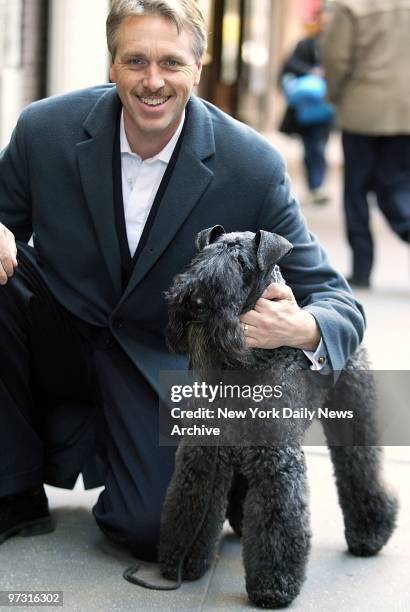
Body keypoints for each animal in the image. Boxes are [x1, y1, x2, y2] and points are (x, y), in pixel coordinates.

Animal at [159, 228, 398, 608]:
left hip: (353, 416)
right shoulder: (203, 453)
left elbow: (278, 520)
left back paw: (371, 532)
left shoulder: (277, 462)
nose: (195, 301)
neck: (245, 362)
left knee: (361, 467)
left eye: (241, 263)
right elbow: (191, 500)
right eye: (201, 256)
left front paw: (273, 585)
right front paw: (181, 559)